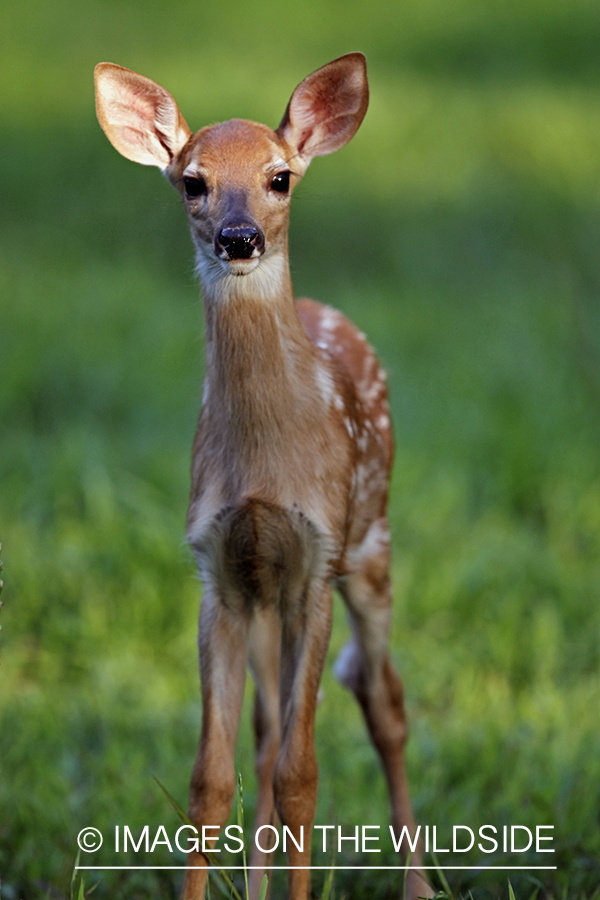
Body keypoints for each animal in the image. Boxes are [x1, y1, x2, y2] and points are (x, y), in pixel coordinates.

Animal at [94, 53, 432, 900]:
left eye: (280, 177)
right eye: (192, 182)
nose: (239, 237)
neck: (265, 465)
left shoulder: (315, 564)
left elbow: (302, 773)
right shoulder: (220, 571)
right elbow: (213, 779)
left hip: (372, 545)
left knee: (384, 700)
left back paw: (418, 884)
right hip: (267, 598)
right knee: (266, 731)